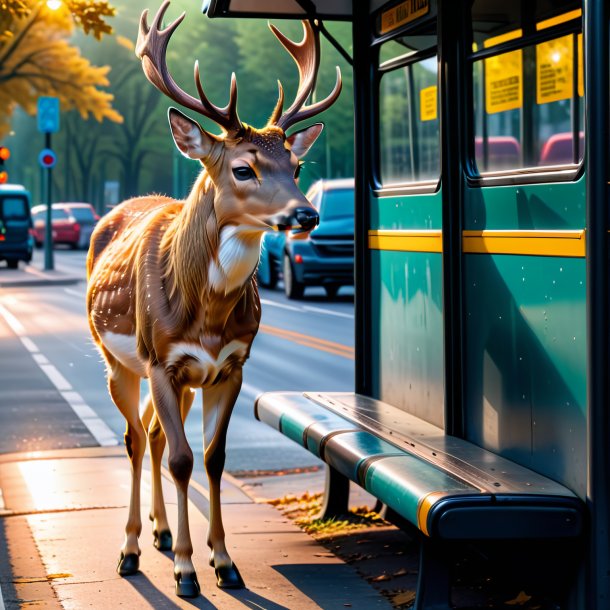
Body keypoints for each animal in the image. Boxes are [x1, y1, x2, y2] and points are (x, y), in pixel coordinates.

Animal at [85, 0, 340, 600]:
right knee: (135, 438)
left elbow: (214, 457)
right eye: (243, 168)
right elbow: (182, 460)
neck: (208, 314)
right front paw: (186, 571)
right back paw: (131, 550)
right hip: (118, 361)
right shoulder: (163, 360)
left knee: (153, 434)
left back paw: (157, 532)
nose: (307, 214)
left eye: (296, 166)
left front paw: (224, 563)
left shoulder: (229, 366)